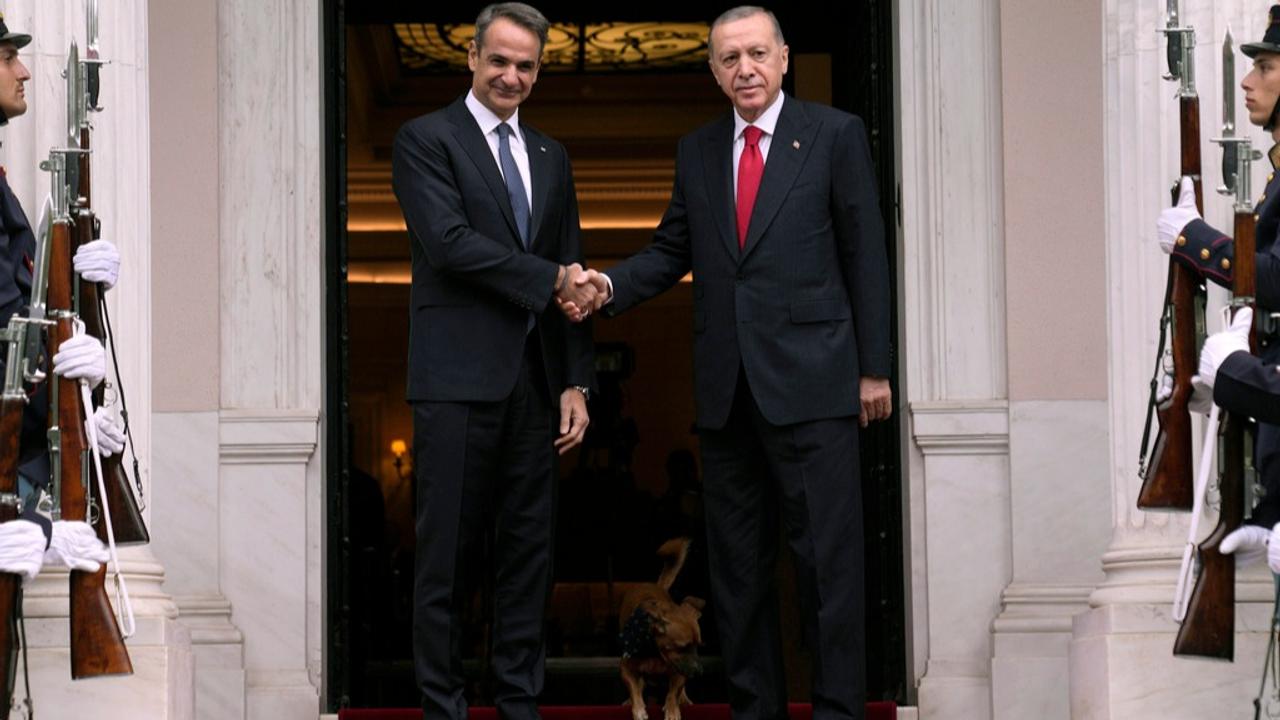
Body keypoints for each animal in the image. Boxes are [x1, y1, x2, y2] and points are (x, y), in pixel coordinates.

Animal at [616, 535, 706, 712]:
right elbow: (633, 687)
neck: (656, 651)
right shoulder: (626, 667)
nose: (699, 671)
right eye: (681, 647)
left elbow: (674, 691)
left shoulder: (679, 670)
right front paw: (638, 708)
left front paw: (672, 710)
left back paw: (683, 698)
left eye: (698, 646)